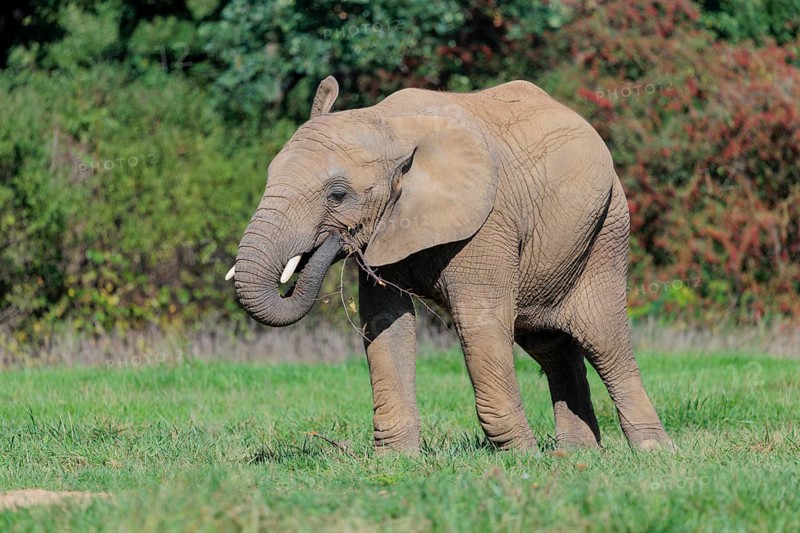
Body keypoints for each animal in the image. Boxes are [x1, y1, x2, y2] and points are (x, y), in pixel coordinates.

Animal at [228, 76, 674, 454]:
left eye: (337, 194)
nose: (335, 241)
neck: (387, 124)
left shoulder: (487, 222)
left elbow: (480, 322)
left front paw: (523, 458)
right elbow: (385, 323)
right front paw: (398, 461)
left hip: (607, 229)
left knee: (604, 340)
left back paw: (653, 452)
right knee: (550, 345)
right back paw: (577, 455)